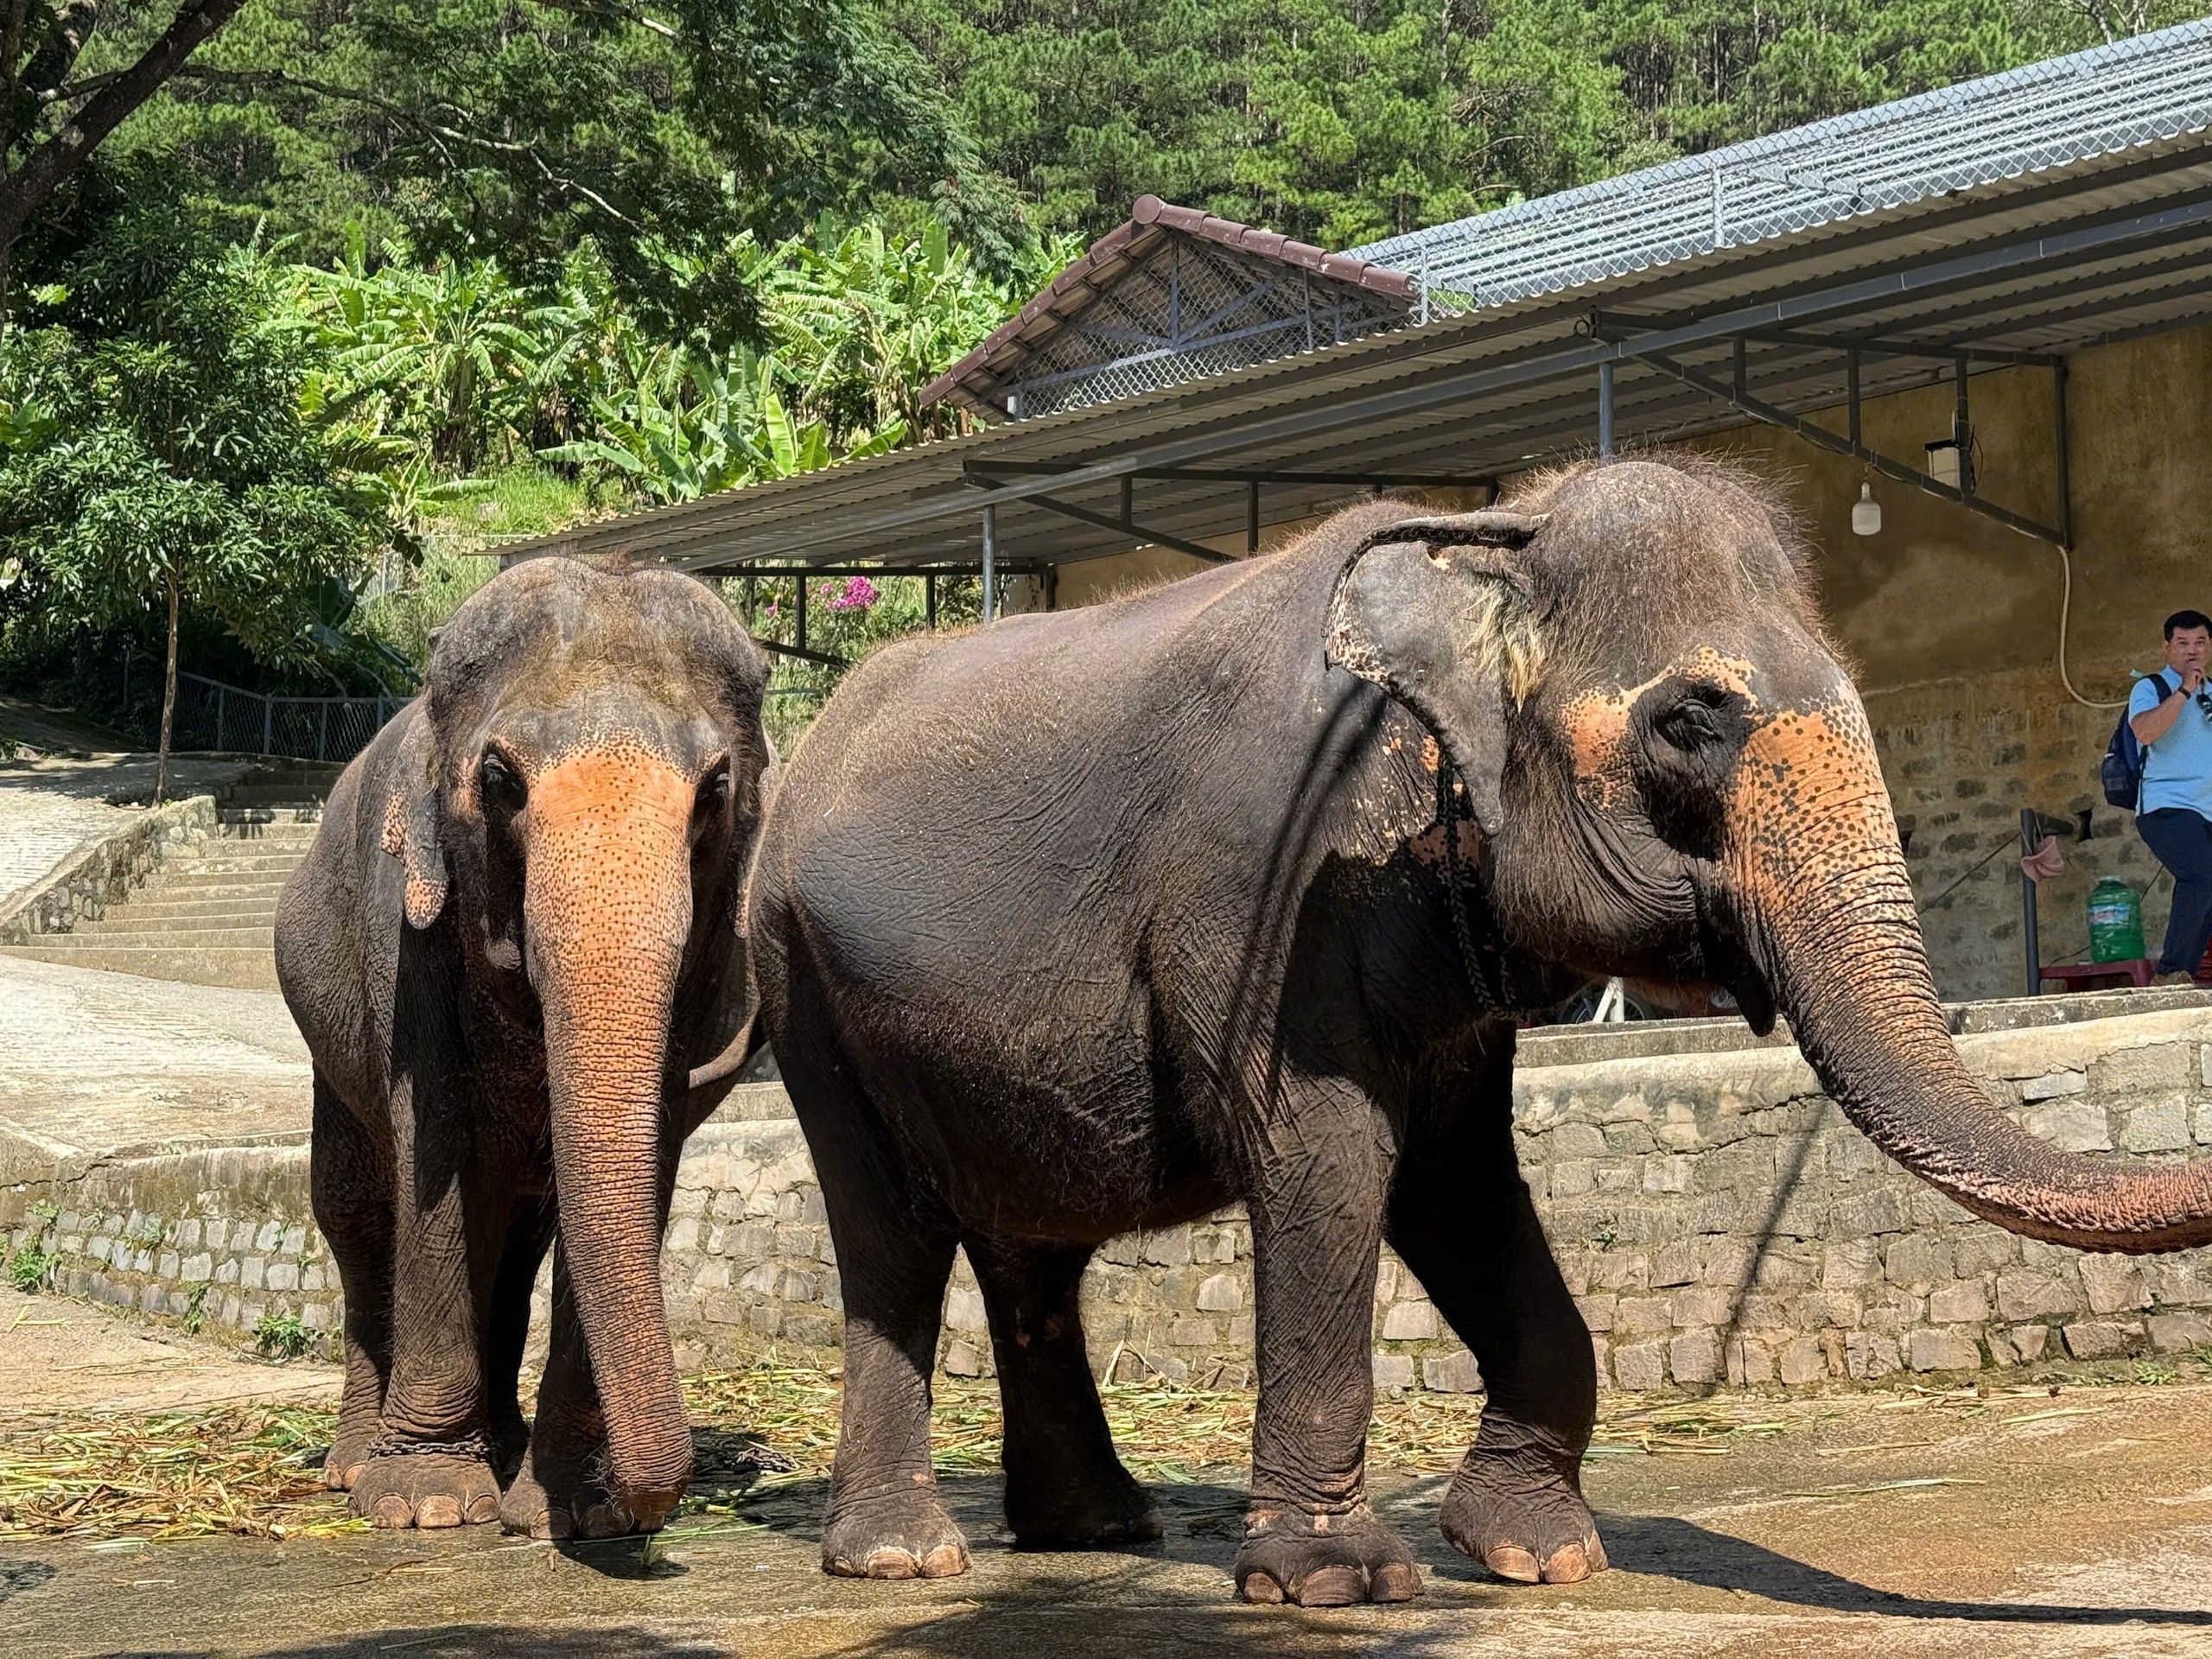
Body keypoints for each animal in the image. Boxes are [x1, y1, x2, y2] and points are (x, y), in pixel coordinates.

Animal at [276, 562, 769, 1548]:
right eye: (500, 778)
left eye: (715, 790)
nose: (651, 1503)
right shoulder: (406, 941)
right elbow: (434, 1155)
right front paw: (423, 1503)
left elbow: (634, 1174)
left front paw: (574, 1513)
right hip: (325, 1041)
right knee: (356, 1214)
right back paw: (353, 1466)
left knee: (517, 1236)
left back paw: (502, 1449)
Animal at [752, 457, 2212, 1610]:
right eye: (1691, 720)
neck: (1490, 533)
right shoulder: (1273, 883)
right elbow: (1332, 1155)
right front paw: (1332, 1583)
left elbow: (1457, 1177)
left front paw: (1534, 1555)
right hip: (801, 986)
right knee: (890, 1234)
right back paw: (903, 1558)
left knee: (1029, 1249)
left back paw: (1098, 1531)